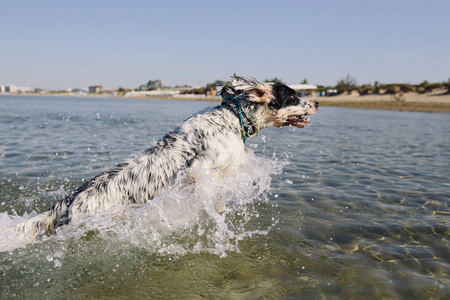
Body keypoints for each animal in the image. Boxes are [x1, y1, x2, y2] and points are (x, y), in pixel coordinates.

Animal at [15, 75, 318, 239]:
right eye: (292, 96)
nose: (316, 102)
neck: (233, 118)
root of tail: (62, 206)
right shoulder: (199, 168)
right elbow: (211, 188)